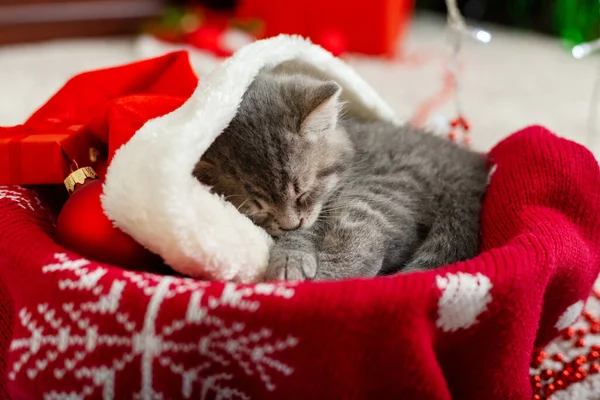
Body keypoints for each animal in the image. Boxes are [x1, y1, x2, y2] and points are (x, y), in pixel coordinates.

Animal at [195, 65, 490, 280]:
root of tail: (466, 167)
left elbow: (309, 230)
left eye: (303, 193)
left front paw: (290, 258)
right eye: (258, 208)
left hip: (385, 189)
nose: (290, 224)